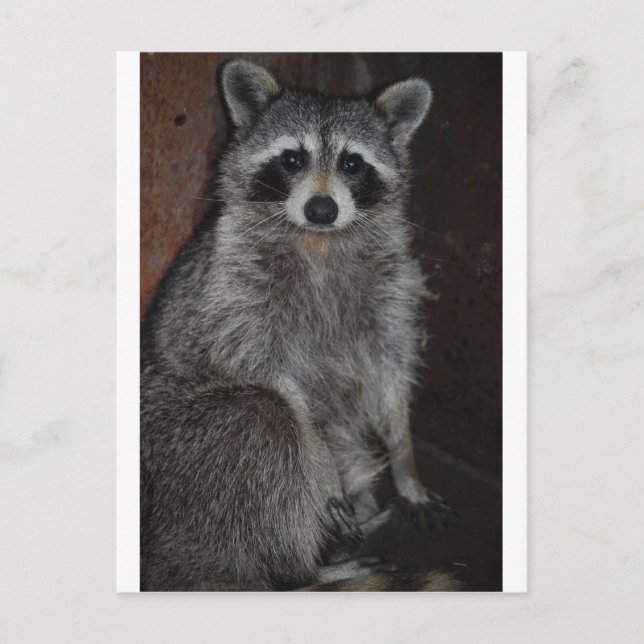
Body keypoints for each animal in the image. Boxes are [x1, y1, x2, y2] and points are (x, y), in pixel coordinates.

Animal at [140, 59, 459, 591]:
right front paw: (325, 470)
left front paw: (405, 459)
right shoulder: (236, 292)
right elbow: (280, 386)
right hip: (184, 448)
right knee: (263, 420)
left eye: (352, 163)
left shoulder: (391, 285)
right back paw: (304, 570)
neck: (318, 241)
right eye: (292, 159)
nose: (322, 209)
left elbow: (390, 369)